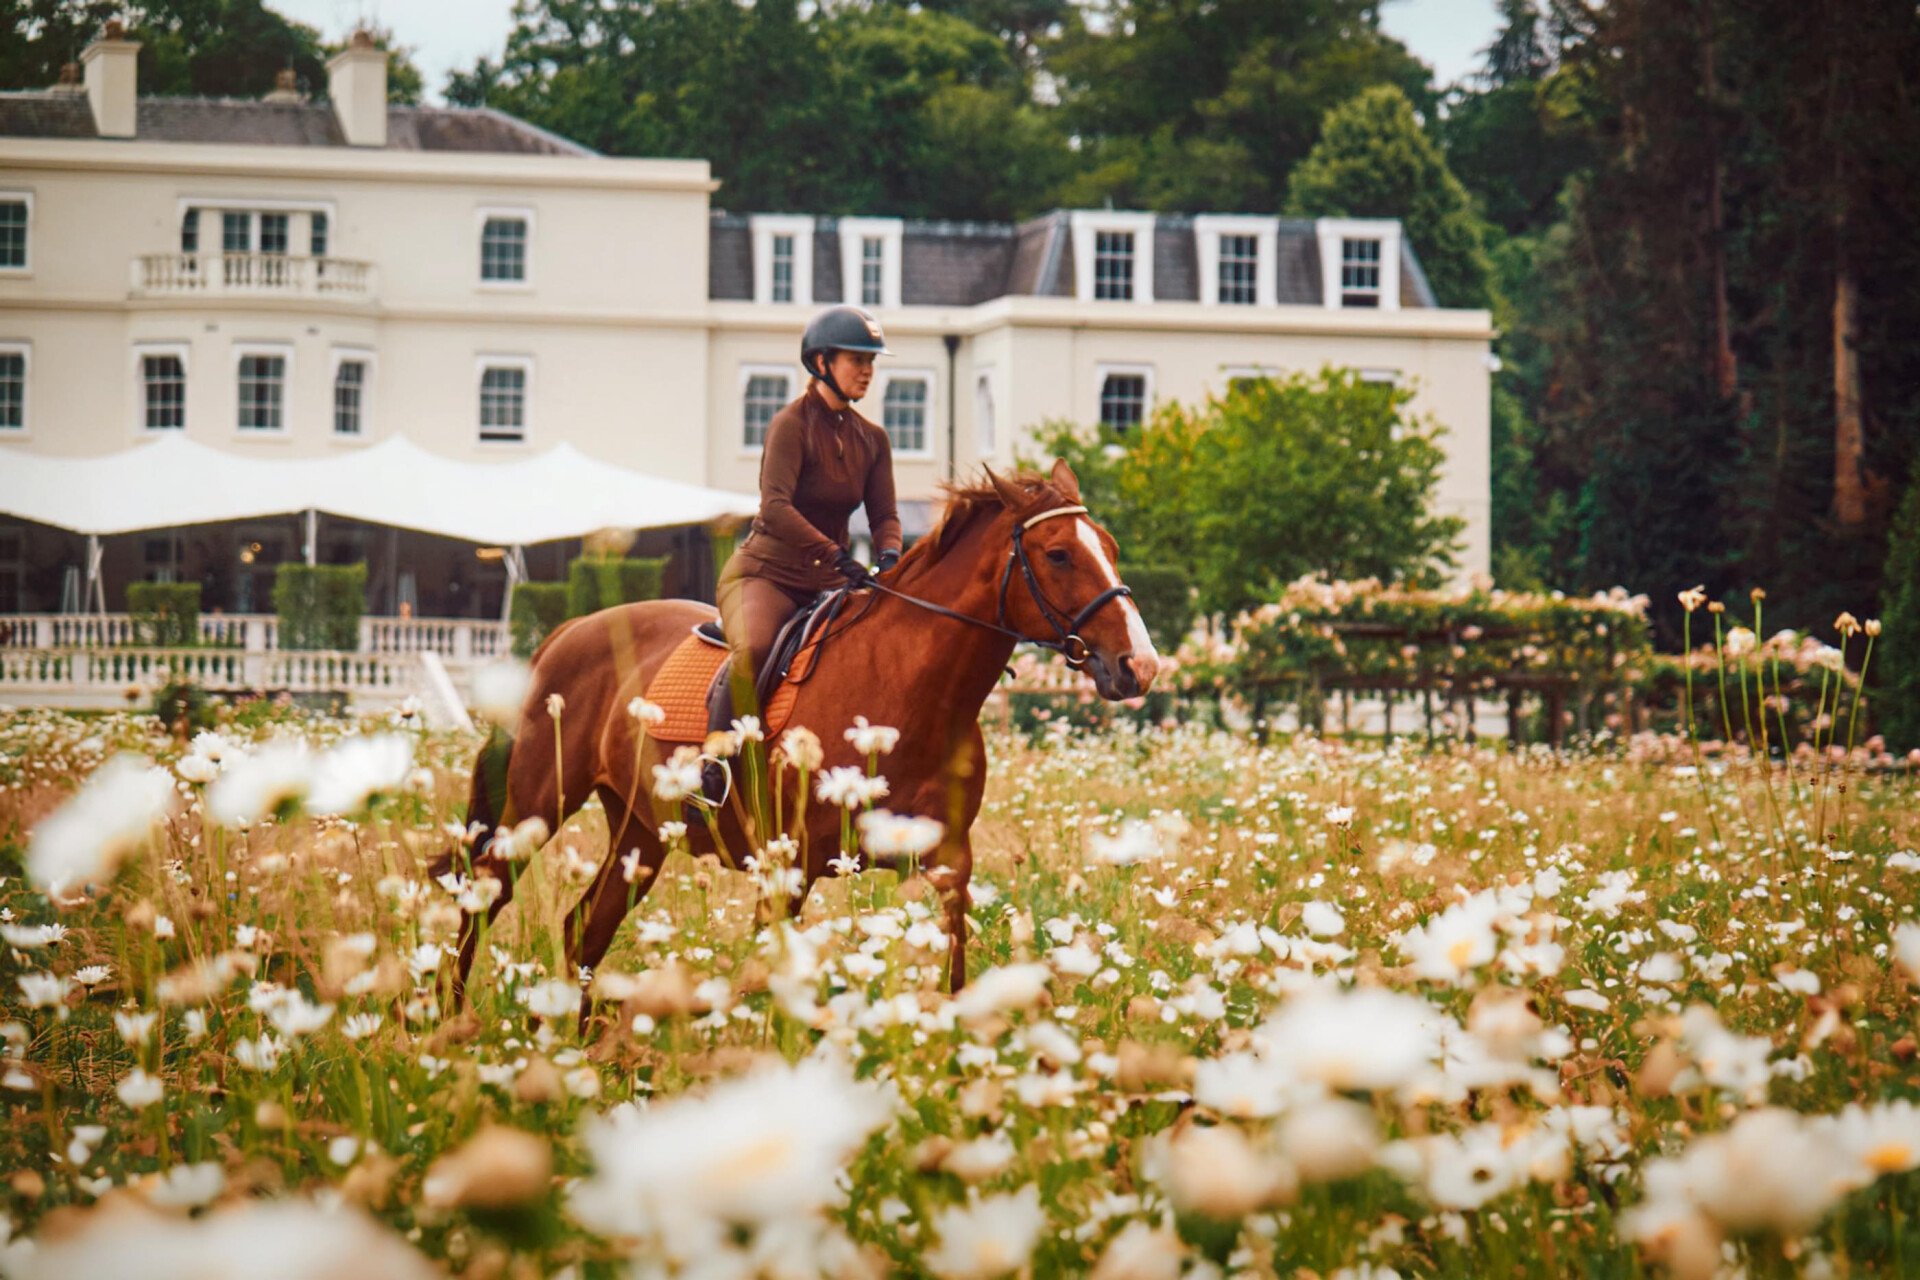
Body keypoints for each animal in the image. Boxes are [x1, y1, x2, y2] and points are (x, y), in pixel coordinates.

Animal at [428, 459, 1160, 1007]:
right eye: (1059, 554)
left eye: (1111, 549)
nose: (1140, 666)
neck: (903, 691)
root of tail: (570, 630)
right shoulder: (788, 869)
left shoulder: (947, 862)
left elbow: (951, 975)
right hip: (537, 807)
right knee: (482, 898)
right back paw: (449, 1022)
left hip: (641, 831)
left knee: (584, 930)